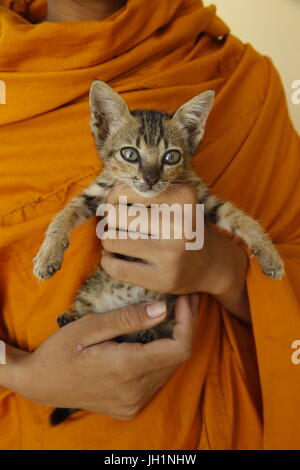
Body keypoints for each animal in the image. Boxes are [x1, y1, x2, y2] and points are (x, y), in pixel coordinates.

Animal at [32, 81, 284, 426]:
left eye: (171, 156)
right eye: (130, 154)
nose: (150, 179)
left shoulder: (203, 199)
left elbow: (240, 218)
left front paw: (270, 256)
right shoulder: (99, 194)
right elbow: (65, 213)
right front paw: (48, 257)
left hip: (170, 302)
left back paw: (149, 333)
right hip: (90, 289)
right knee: (87, 311)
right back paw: (72, 317)